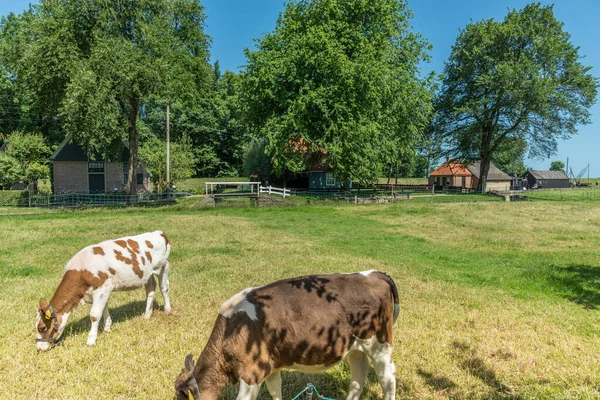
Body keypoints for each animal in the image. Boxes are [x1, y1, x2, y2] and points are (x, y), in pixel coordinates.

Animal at [35, 230, 171, 352]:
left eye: (42, 328)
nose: (38, 348)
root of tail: (159, 232)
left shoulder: (101, 290)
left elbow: (94, 315)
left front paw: (91, 340)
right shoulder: (103, 292)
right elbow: (104, 309)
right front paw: (107, 328)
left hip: (163, 267)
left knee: (164, 288)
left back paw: (167, 309)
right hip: (147, 274)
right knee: (150, 289)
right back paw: (147, 315)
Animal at [173, 270, 398, 400]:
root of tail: (375, 273)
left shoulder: (252, 372)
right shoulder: (270, 367)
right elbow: (275, 392)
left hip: (379, 345)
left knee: (388, 380)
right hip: (356, 348)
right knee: (358, 379)